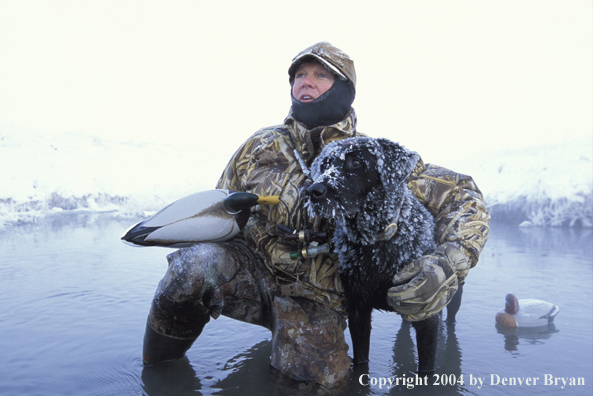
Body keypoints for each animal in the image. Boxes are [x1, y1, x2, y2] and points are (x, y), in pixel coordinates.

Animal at [308, 137, 446, 374]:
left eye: (356, 162)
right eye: (325, 165)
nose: (313, 191)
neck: (375, 244)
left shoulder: (427, 317)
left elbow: (427, 368)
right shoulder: (358, 310)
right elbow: (361, 359)